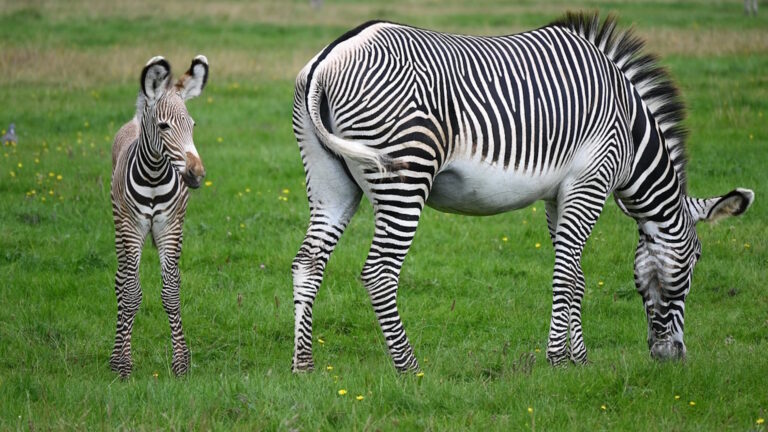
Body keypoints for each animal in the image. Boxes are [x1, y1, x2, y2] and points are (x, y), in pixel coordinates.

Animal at [109, 54, 208, 378]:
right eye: (164, 126)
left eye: (192, 125)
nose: (197, 174)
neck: (153, 176)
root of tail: (134, 121)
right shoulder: (131, 228)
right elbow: (130, 293)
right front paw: (125, 366)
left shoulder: (171, 228)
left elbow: (171, 292)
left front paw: (181, 363)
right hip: (119, 225)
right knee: (121, 280)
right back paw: (114, 357)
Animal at [292, 13, 752, 372]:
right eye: (696, 260)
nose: (673, 357)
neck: (632, 134)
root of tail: (328, 57)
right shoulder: (591, 181)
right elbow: (566, 273)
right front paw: (557, 360)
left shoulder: (558, 194)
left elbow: (577, 275)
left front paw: (579, 361)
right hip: (405, 173)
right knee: (379, 272)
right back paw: (410, 368)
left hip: (331, 182)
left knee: (308, 261)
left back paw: (304, 366)